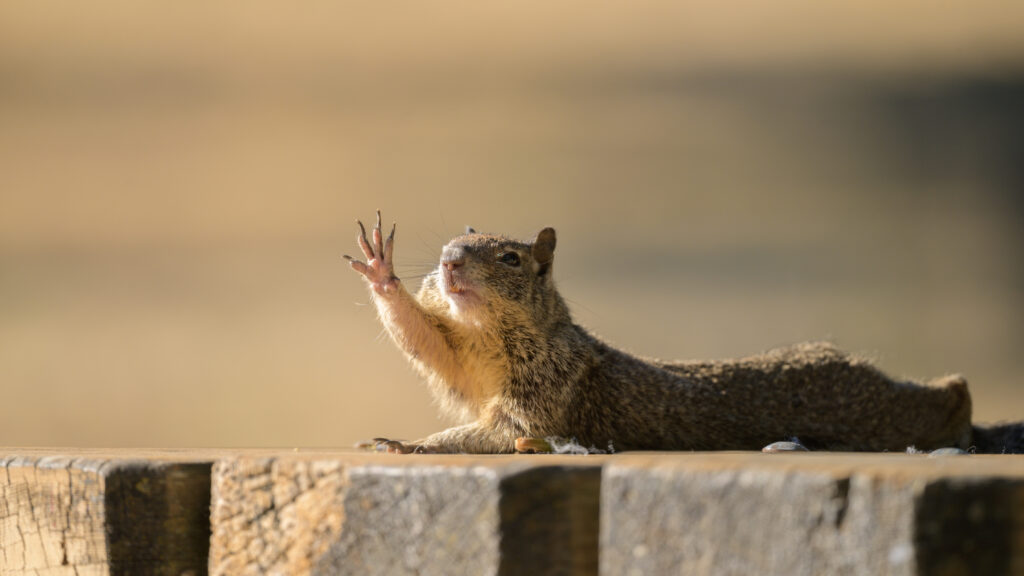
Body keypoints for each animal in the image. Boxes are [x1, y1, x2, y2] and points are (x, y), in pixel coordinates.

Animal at [345, 211, 1021, 454]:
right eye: (448, 244)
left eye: (510, 257)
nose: (449, 261)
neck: (489, 336)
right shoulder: (459, 357)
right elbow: (424, 339)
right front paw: (382, 271)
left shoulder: (544, 391)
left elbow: (497, 434)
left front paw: (410, 445)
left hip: (884, 411)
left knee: (950, 395)